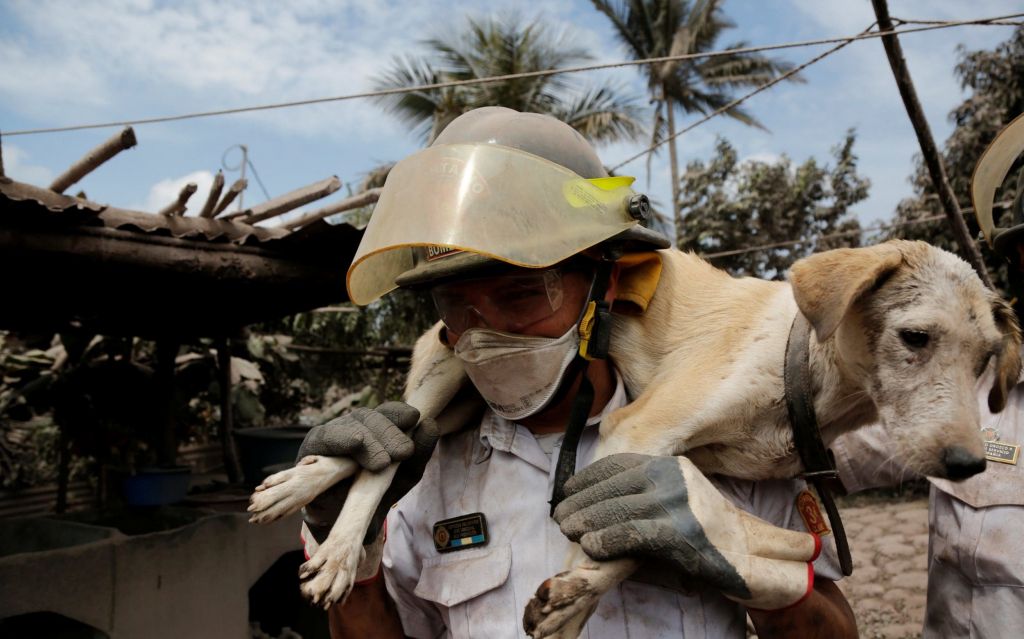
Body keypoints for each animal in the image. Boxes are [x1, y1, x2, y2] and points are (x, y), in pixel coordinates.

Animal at [245, 240, 1015, 639]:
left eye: (986, 359)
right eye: (915, 337)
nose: (966, 463)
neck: (805, 372)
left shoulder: (667, 464)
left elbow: (636, 536)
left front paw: (576, 597)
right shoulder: (637, 426)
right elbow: (593, 534)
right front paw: (575, 593)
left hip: (455, 406)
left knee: (403, 444)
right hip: (444, 369)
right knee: (385, 454)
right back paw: (324, 525)